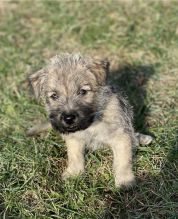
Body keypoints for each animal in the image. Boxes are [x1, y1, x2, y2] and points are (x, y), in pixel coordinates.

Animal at [28, 53, 152, 188]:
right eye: (54, 96)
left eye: (83, 91)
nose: (68, 118)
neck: (92, 123)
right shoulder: (74, 138)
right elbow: (75, 156)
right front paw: (74, 173)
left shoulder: (121, 136)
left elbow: (123, 161)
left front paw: (125, 181)